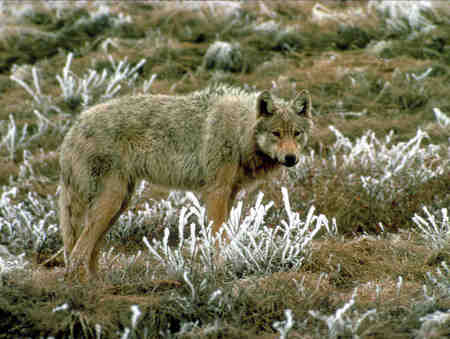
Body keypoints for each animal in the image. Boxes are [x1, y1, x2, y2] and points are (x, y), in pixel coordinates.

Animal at [59, 85, 312, 278]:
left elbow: (224, 235)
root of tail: (74, 127)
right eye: (276, 133)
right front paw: (220, 270)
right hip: (110, 203)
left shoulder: (229, 193)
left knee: (88, 251)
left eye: (296, 133)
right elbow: (218, 237)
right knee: (77, 253)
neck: (239, 131)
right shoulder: (216, 191)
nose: (291, 158)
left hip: (117, 205)